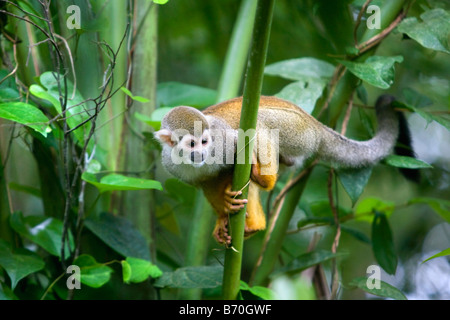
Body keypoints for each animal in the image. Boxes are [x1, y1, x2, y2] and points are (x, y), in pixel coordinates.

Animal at [156, 95, 412, 245]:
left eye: (205, 142)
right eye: (192, 144)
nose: (200, 154)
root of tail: (316, 126)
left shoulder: (223, 142)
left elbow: (236, 151)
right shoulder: (170, 164)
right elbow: (208, 182)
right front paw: (222, 217)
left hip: (297, 132)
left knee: (258, 122)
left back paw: (264, 178)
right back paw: (256, 223)